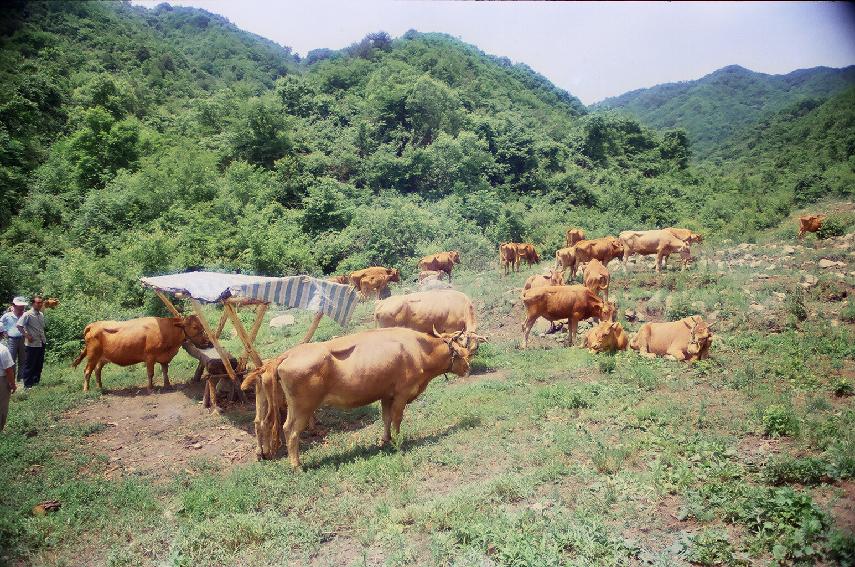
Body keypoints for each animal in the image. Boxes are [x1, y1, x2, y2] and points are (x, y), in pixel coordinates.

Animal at [70, 316, 211, 390]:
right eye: (195, 327)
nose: (208, 341)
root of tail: (93, 325)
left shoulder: (164, 358)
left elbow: (165, 371)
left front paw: (167, 385)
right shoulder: (150, 356)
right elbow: (150, 373)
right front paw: (150, 388)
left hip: (102, 358)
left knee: (97, 370)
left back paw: (100, 387)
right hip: (92, 356)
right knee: (87, 371)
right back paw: (86, 390)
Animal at [246, 328, 482, 470]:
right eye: (462, 352)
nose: (468, 369)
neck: (417, 350)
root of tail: (285, 355)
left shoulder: (386, 394)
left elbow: (386, 418)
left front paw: (385, 440)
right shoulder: (402, 392)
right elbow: (397, 418)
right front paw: (398, 442)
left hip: (269, 401)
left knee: (261, 423)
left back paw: (263, 454)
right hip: (302, 407)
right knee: (290, 430)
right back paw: (297, 465)